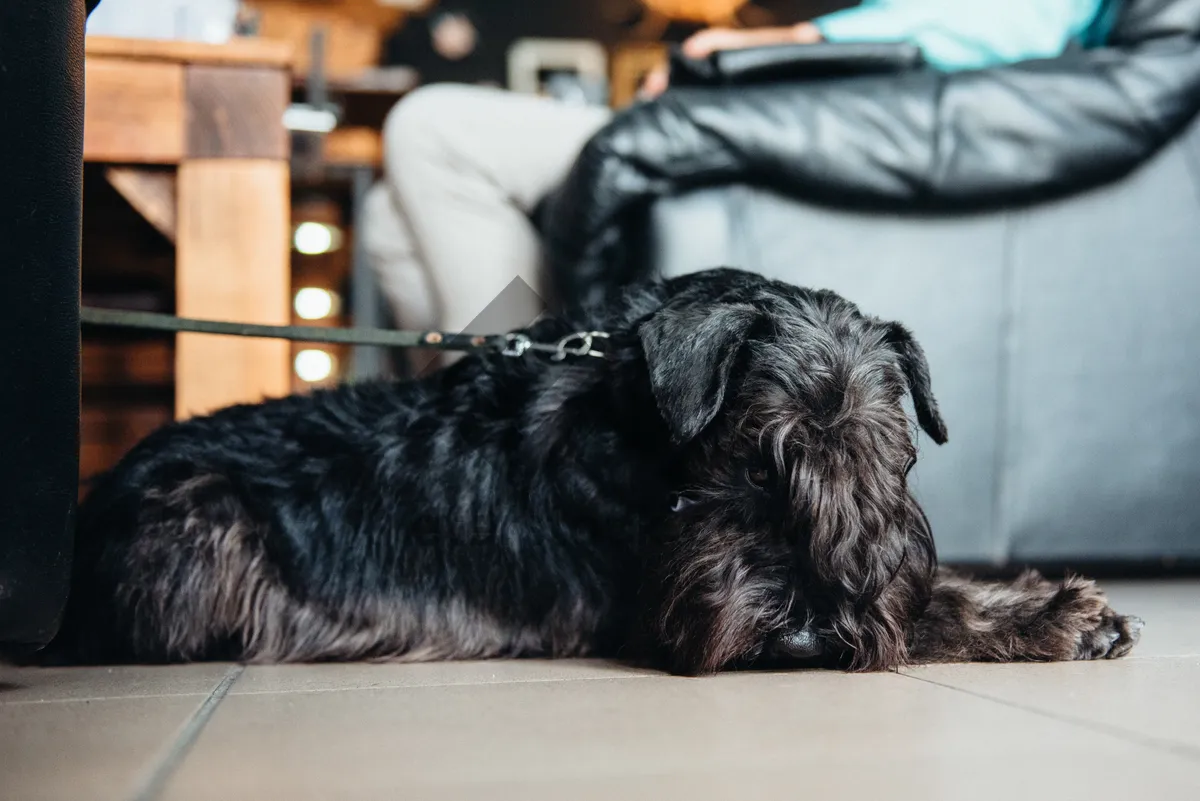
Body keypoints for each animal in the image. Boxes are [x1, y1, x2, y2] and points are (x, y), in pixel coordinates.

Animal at [51, 267, 1142, 671]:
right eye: (753, 463)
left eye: (893, 462)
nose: (805, 637)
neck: (640, 432)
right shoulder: (648, 602)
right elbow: (923, 607)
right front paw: (1050, 615)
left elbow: (919, 590)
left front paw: (1060, 607)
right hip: (203, 519)